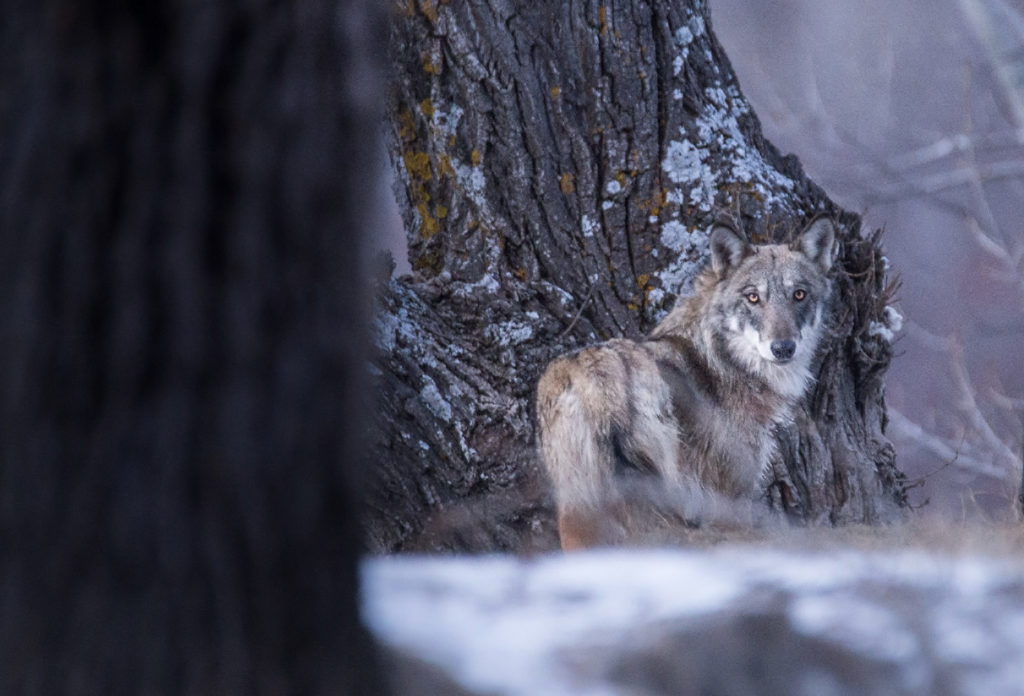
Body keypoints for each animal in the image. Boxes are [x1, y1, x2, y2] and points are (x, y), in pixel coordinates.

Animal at [532, 216, 835, 548]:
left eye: (799, 295)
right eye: (753, 297)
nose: (783, 348)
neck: (724, 361)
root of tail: (594, 373)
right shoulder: (729, 502)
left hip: (578, 511)